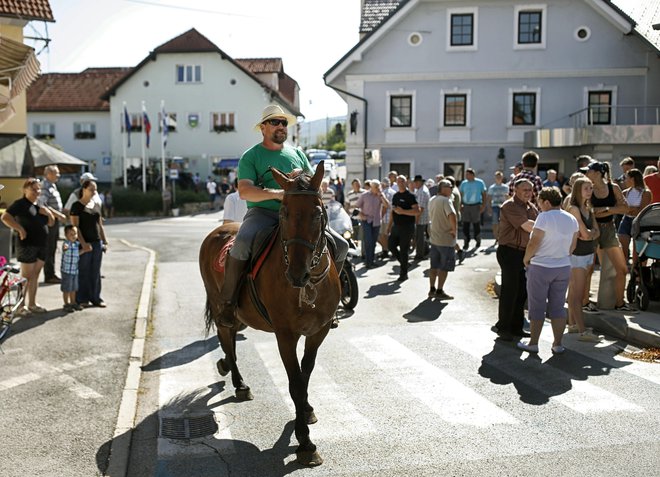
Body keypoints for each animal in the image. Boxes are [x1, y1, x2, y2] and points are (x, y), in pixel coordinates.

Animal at [199, 163, 340, 464]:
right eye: (284, 212)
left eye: (318, 213)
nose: (298, 273)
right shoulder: (285, 335)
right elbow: (295, 382)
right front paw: (305, 443)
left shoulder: (318, 332)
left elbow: (305, 374)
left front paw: (306, 411)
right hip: (220, 304)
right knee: (225, 335)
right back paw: (239, 382)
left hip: (242, 315)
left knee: (230, 338)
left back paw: (227, 367)